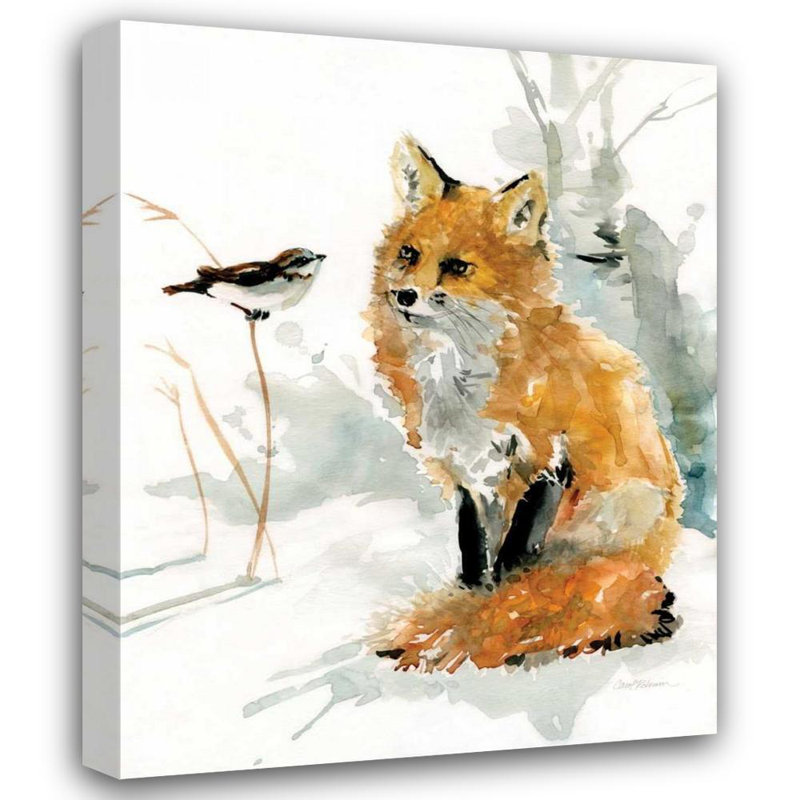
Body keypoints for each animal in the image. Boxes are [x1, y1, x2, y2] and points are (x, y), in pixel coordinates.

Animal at [366, 135, 684, 673]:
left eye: (457, 267)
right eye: (409, 254)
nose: (404, 295)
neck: (460, 377)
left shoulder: (548, 460)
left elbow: (515, 563)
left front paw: (494, 613)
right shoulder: (469, 477)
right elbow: (476, 560)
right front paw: (474, 600)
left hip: (619, 510)